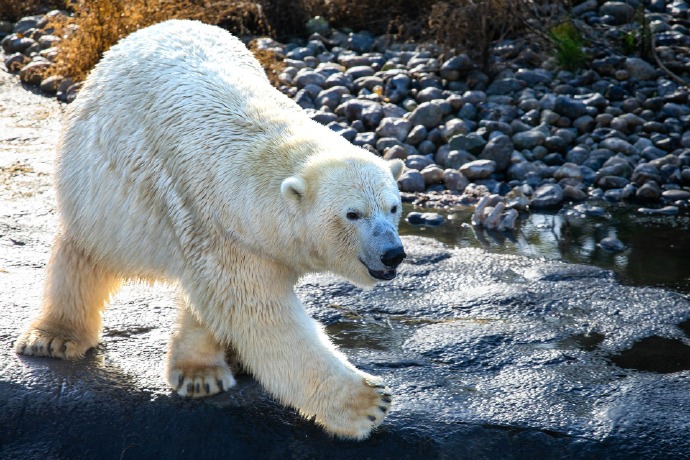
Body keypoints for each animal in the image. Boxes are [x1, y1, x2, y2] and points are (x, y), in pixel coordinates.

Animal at [13, 19, 406, 440]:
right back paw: (53, 337)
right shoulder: (214, 223)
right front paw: (368, 402)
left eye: (393, 206)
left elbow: (216, 303)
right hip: (96, 183)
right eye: (353, 214)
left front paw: (203, 373)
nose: (393, 254)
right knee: (86, 251)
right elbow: (262, 316)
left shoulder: (223, 234)